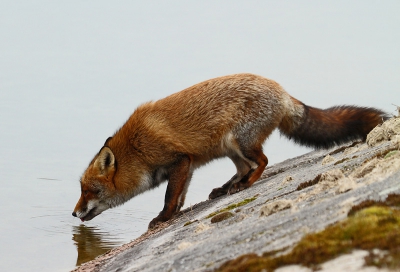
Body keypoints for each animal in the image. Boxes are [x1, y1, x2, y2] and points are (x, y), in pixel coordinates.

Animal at [72, 73, 388, 228]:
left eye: (90, 191)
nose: (74, 214)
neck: (136, 150)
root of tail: (282, 91)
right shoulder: (187, 165)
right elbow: (180, 196)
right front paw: (174, 215)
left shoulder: (179, 160)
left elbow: (169, 197)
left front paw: (163, 219)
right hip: (230, 148)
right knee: (245, 167)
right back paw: (226, 188)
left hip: (241, 141)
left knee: (262, 162)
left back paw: (244, 185)